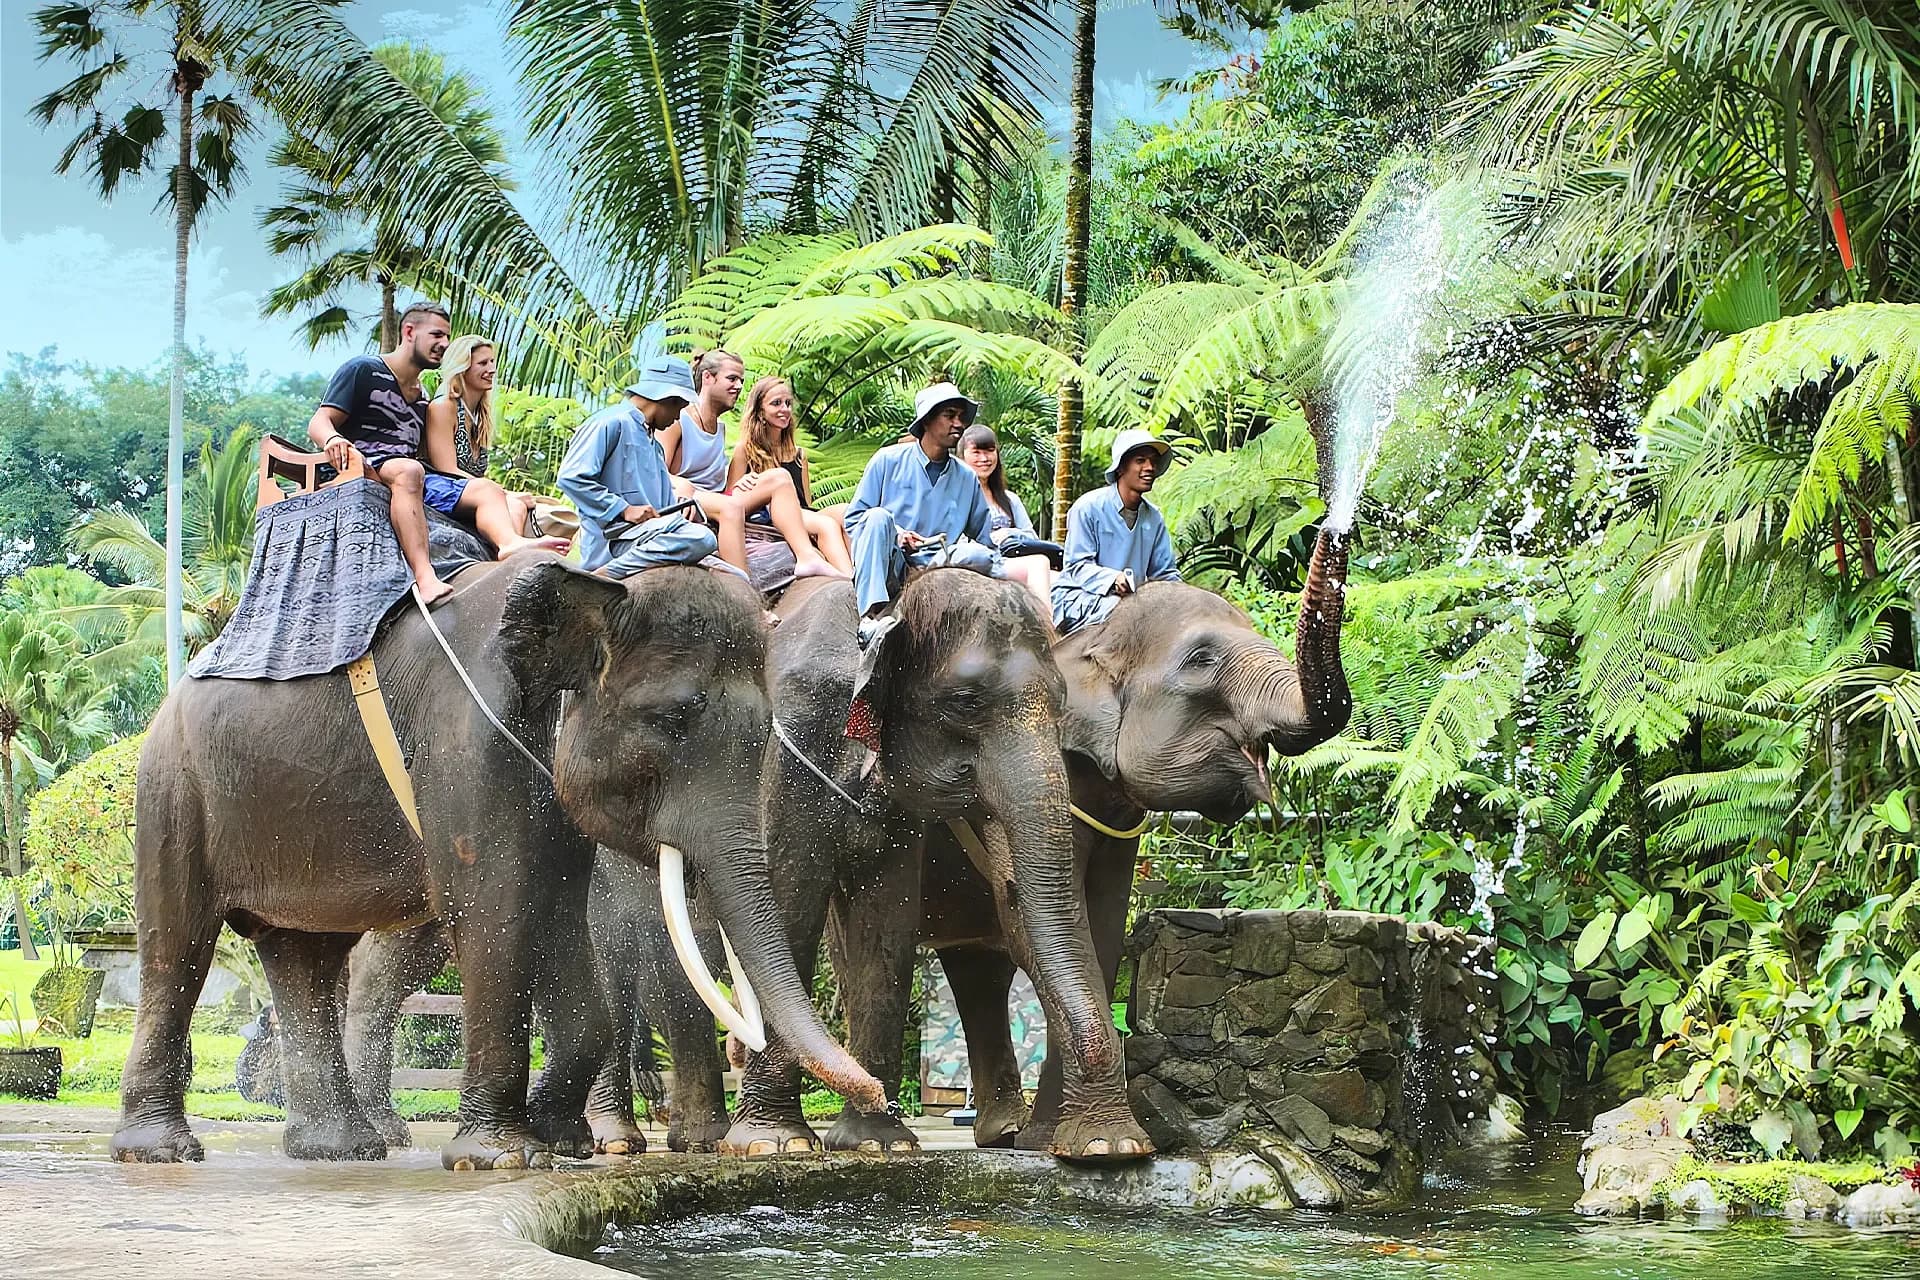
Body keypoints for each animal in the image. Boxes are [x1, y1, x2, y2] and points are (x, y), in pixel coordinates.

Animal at [112, 556, 889, 1169]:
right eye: (671, 720)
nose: (879, 1088)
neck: (592, 586)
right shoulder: (466, 740)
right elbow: (496, 911)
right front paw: (499, 1157)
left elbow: (564, 923)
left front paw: (558, 1140)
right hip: (172, 791)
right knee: (177, 945)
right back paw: (161, 1151)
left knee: (304, 955)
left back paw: (338, 1150)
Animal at [723, 569, 1149, 1160]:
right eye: (965, 702)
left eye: (1061, 704)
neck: (888, 611)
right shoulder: (788, 742)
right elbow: (787, 904)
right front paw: (774, 1145)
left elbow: (885, 926)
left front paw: (878, 1144)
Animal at [899, 526, 1353, 1150]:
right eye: (1201, 660)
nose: (1340, 525)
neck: (1091, 640)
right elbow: (1040, 922)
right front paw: (1090, 1143)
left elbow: (1104, 924)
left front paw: (1061, 1141)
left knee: (977, 969)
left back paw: (1003, 1133)